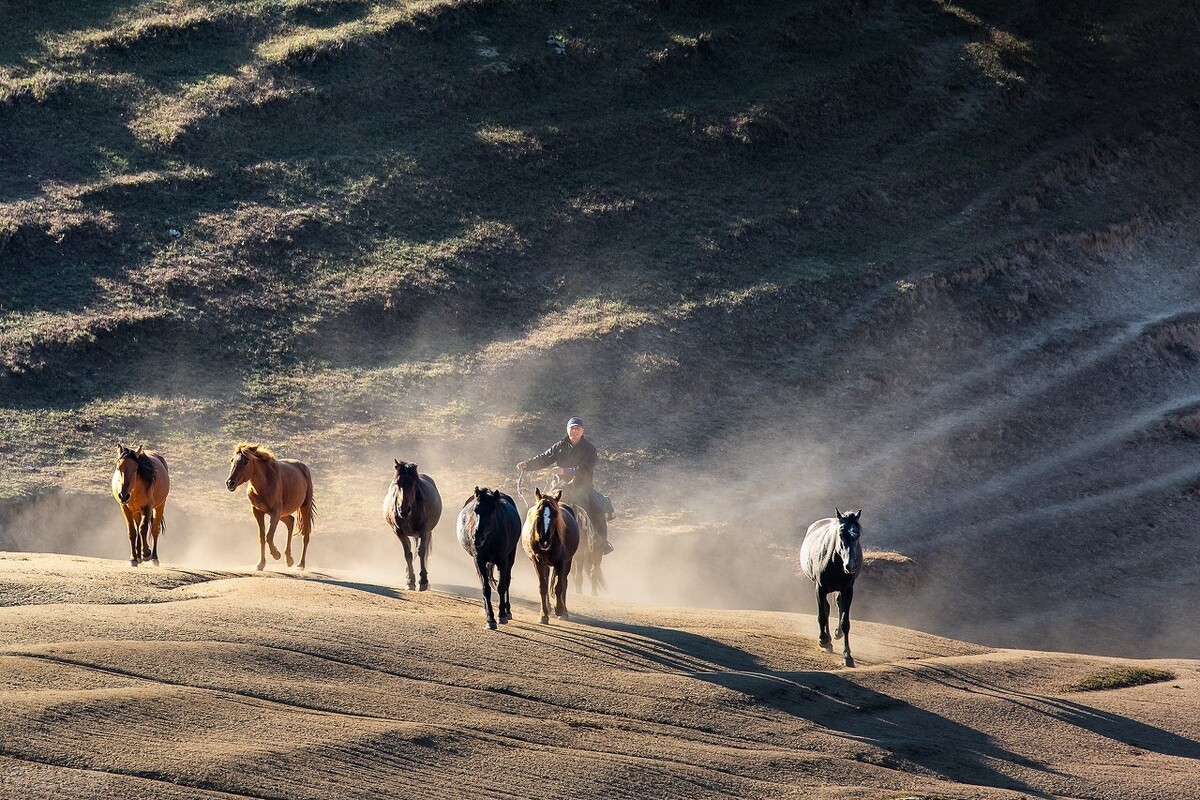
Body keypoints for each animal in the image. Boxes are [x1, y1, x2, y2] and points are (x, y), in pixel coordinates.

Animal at [381, 460, 444, 592]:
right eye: (397, 483)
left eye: (414, 484)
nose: (404, 510)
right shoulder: (399, 532)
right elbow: (408, 554)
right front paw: (410, 581)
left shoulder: (424, 531)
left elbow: (421, 552)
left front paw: (423, 581)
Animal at [453, 484, 520, 628]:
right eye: (475, 510)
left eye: (492, 512)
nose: (477, 537)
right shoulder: (479, 561)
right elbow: (486, 588)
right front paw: (490, 619)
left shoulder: (503, 561)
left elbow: (501, 586)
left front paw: (501, 615)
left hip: (511, 557)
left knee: (507, 582)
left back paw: (508, 611)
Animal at [520, 489, 580, 623]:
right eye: (538, 514)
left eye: (556, 515)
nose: (544, 541)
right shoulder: (537, 562)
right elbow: (543, 587)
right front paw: (543, 615)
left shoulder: (561, 562)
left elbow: (559, 586)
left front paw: (560, 609)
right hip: (545, 565)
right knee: (547, 581)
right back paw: (548, 606)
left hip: (568, 562)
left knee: (564, 582)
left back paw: (564, 611)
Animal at [796, 510, 864, 666]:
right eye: (841, 533)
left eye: (857, 535)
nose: (850, 565)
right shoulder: (819, 589)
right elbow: (822, 615)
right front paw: (823, 640)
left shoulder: (847, 590)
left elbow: (845, 622)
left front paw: (847, 656)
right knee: (826, 609)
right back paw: (828, 642)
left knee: (838, 605)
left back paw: (836, 635)